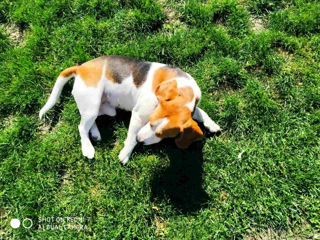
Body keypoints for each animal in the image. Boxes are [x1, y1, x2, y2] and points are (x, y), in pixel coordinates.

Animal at [39, 56, 220, 164]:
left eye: (163, 135)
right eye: (150, 121)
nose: (141, 141)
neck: (183, 86)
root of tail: (80, 68)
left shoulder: (192, 106)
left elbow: (201, 112)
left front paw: (211, 124)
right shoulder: (139, 115)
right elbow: (131, 136)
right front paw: (125, 154)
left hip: (106, 108)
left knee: (90, 120)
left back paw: (95, 133)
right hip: (91, 103)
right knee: (81, 127)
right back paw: (88, 148)